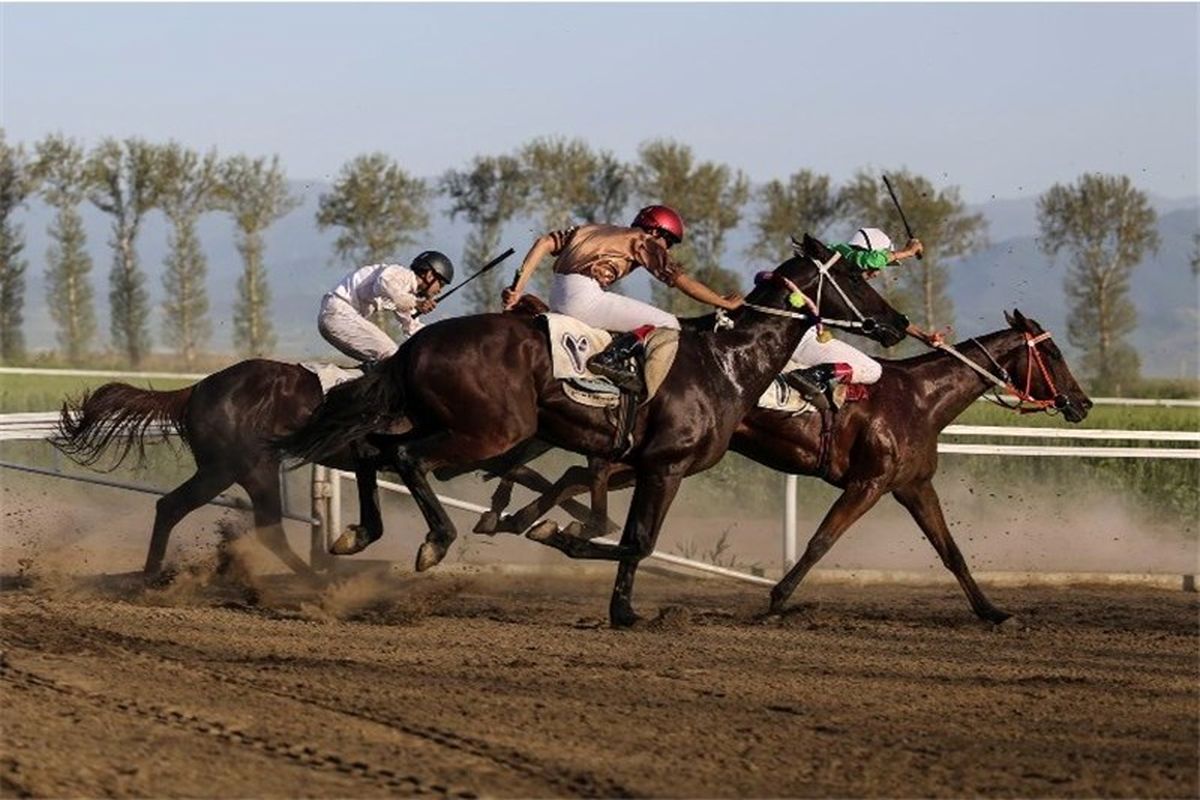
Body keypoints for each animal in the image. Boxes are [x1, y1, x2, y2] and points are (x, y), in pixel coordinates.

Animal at [274, 236, 907, 623]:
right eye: (856, 277)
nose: (898, 322)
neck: (725, 363)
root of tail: (416, 343)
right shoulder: (666, 465)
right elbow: (637, 539)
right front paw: (561, 536)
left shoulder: (634, 462)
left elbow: (621, 531)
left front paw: (620, 609)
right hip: (488, 431)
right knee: (406, 460)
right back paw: (434, 541)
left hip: (443, 422)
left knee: (370, 449)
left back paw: (358, 534)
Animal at [475, 309, 1089, 623]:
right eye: (1054, 353)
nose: (1081, 404)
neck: (919, 398)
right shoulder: (868, 483)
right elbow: (820, 542)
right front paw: (775, 601)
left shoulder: (913, 486)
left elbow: (951, 552)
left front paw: (993, 611)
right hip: (665, 459)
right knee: (580, 476)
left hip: (658, 459)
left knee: (575, 476)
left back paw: (520, 517)